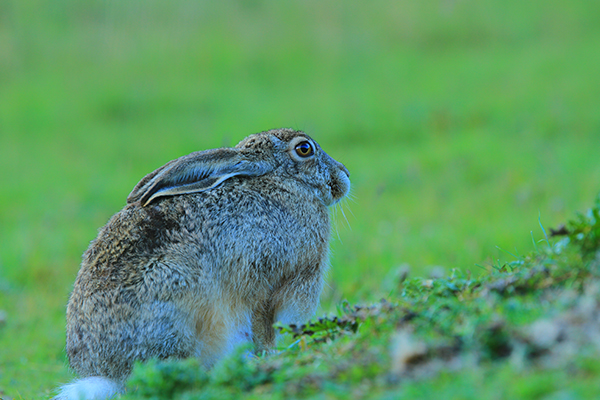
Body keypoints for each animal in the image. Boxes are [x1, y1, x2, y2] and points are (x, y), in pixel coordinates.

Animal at [55, 128, 350, 400]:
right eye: (304, 149)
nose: (344, 174)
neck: (281, 183)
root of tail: (110, 377)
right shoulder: (272, 285)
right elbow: (265, 327)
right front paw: (271, 356)